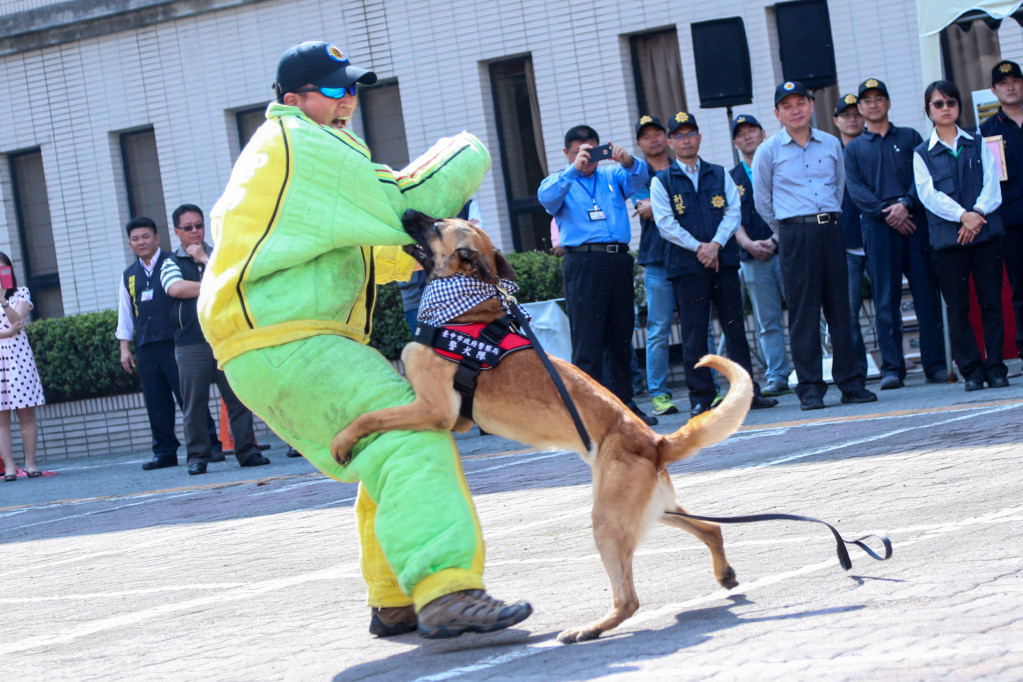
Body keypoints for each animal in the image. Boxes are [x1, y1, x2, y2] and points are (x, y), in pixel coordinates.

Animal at [331, 210, 757, 642]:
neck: (464, 308)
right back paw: (724, 574)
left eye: (437, 225)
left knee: (629, 600)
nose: (407, 213)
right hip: (649, 510)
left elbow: (372, 416)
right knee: (711, 529)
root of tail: (654, 441)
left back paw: (589, 629)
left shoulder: (435, 408)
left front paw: (342, 442)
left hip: (607, 523)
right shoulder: (453, 418)